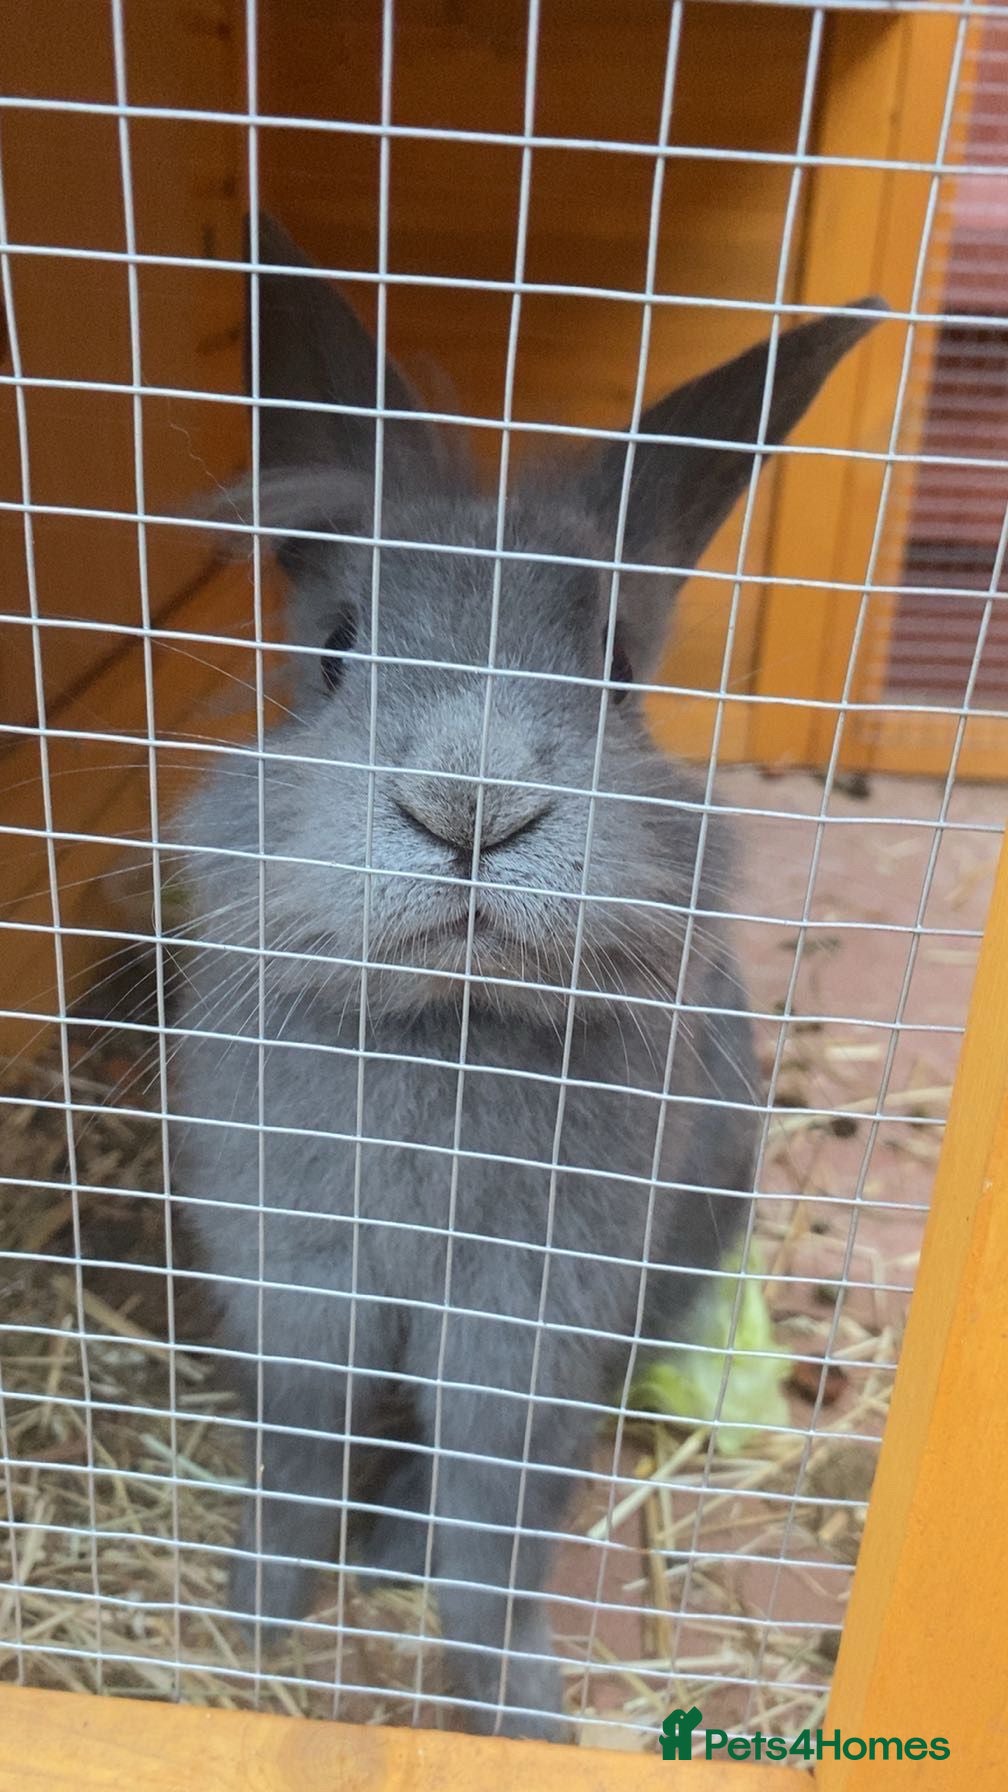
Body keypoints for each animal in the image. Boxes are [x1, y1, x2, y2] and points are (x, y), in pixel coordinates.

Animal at [170, 213, 881, 1739]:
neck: (448, 1022)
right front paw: (255, 1624)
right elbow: (297, 1455)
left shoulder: (526, 1320)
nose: (471, 809)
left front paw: (519, 1711)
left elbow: (496, 1517)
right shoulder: (298, 1280)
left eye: (616, 677)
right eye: (335, 651)